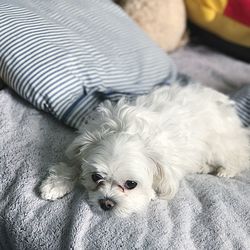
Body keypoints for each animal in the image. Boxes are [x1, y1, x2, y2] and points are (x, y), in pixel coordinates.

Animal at [40, 84, 249, 217]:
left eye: (131, 184)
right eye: (96, 177)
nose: (106, 203)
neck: (127, 129)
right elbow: (74, 164)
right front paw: (56, 184)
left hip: (218, 145)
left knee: (241, 154)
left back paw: (225, 170)